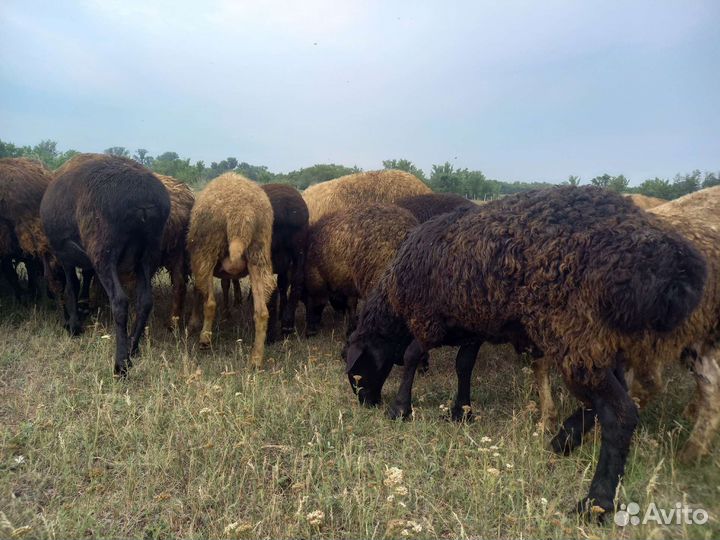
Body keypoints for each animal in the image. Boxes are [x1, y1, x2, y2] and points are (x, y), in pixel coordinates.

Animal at [40, 153, 170, 375]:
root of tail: (143, 200)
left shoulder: (64, 254)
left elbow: (71, 287)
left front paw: (74, 325)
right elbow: (84, 278)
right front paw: (82, 310)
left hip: (103, 249)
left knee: (120, 301)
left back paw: (121, 364)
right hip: (150, 250)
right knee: (145, 301)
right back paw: (133, 347)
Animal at [187, 172, 275, 367]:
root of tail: (241, 213)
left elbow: (198, 290)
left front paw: (193, 322)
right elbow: (225, 285)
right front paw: (227, 313)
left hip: (207, 251)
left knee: (210, 303)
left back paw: (205, 339)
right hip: (258, 255)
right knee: (262, 312)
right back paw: (256, 358)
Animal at [344, 186, 706, 515]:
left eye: (356, 374)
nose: (367, 404)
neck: (395, 296)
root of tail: (676, 272)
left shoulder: (427, 318)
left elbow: (411, 357)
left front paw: (400, 409)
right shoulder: (472, 323)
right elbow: (464, 365)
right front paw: (462, 411)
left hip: (575, 334)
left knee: (620, 413)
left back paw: (596, 502)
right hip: (596, 342)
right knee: (610, 399)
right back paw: (564, 439)